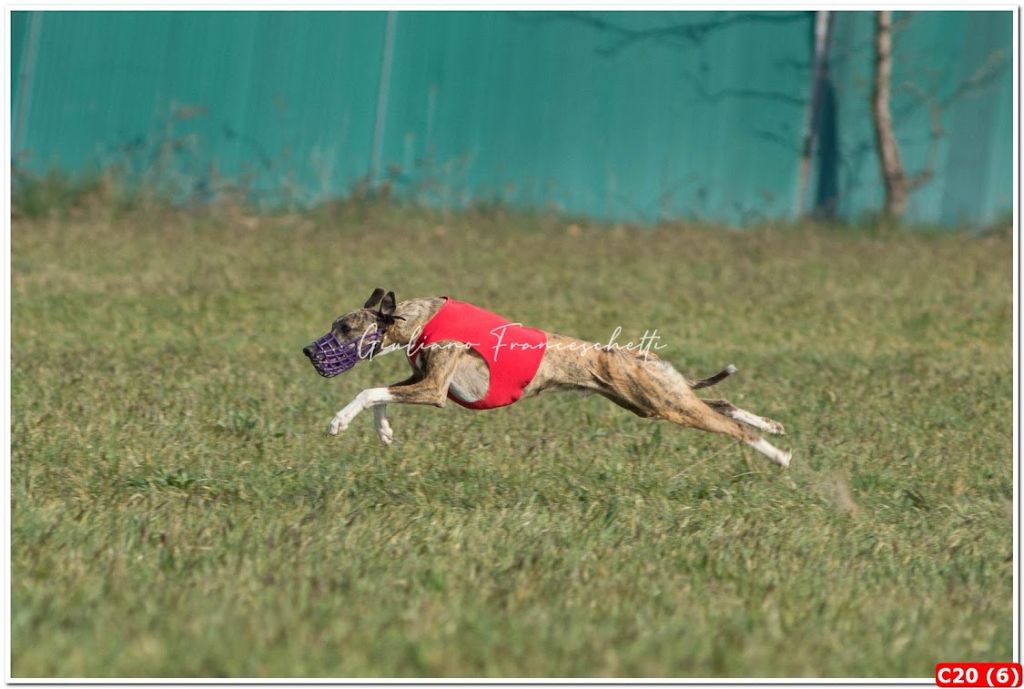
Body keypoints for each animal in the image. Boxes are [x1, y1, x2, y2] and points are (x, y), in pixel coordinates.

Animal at [303, 284, 790, 466]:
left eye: (344, 329)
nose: (308, 351)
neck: (421, 318)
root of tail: (644, 357)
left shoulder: (434, 389)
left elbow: (369, 389)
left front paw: (337, 422)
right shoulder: (421, 382)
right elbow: (379, 394)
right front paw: (383, 432)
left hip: (660, 403)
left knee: (730, 426)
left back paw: (778, 455)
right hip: (654, 400)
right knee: (722, 403)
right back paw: (773, 427)